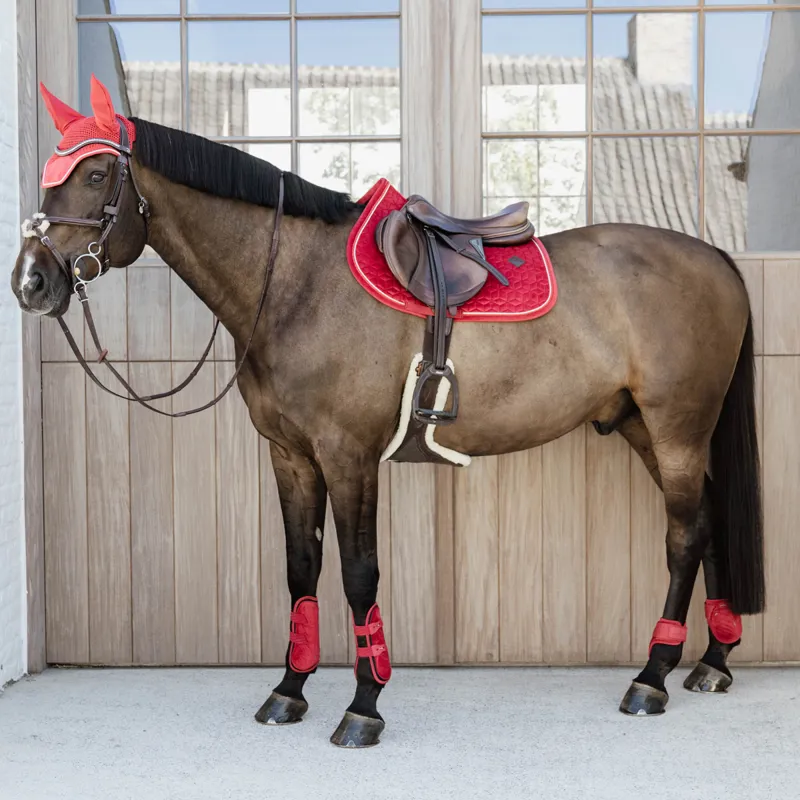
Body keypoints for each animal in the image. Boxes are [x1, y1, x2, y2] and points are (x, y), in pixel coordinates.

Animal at [11, 76, 764, 748]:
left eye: (97, 173)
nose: (31, 282)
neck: (296, 284)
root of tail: (716, 257)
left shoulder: (349, 456)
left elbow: (358, 574)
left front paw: (363, 706)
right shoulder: (290, 455)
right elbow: (300, 569)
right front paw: (289, 691)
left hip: (677, 430)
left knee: (684, 537)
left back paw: (652, 677)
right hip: (645, 427)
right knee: (709, 522)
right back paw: (711, 661)